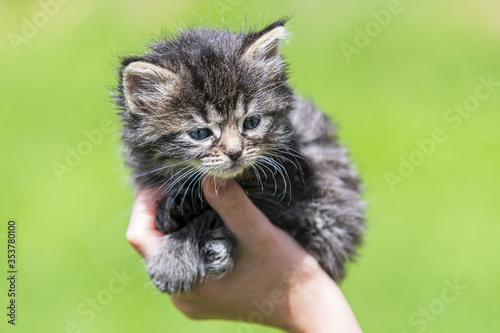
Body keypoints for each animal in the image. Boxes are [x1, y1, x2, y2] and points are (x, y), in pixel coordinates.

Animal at [115, 19, 366, 292]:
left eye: (252, 122)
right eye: (200, 133)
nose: (235, 152)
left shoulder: (292, 186)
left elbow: (212, 214)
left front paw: (174, 257)